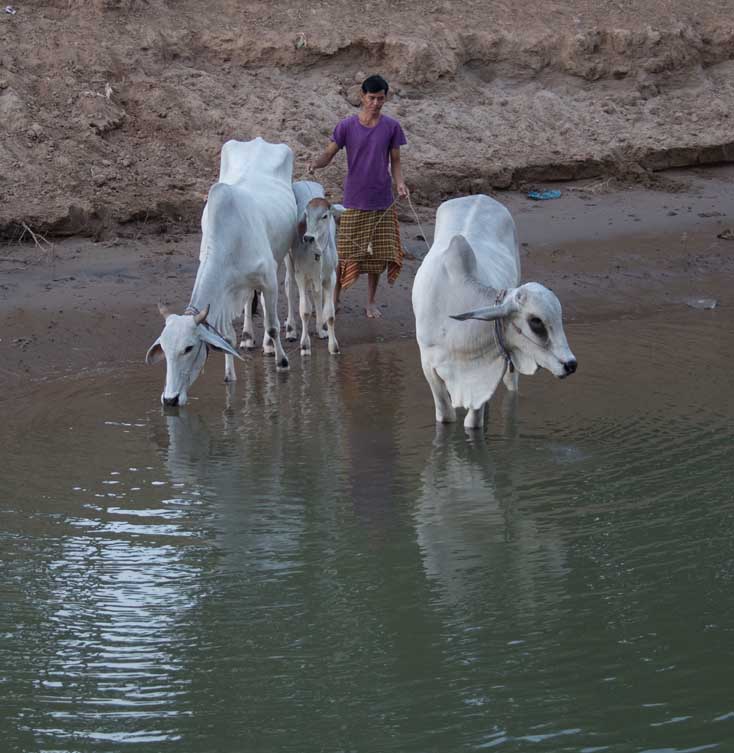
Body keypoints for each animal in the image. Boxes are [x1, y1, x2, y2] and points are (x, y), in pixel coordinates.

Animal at [146, 138, 297, 406]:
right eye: (163, 348)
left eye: (188, 348)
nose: (170, 399)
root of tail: (259, 140)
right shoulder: (228, 291)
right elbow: (227, 337)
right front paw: (229, 376)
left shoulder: (268, 279)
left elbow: (272, 325)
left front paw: (282, 361)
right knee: (250, 301)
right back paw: (249, 337)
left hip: (286, 251)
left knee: (286, 288)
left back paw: (281, 337)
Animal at [288, 180, 344, 356]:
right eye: (306, 215)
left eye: (325, 216)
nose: (308, 237)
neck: (317, 252)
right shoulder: (301, 275)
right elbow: (305, 311)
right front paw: (305, 345)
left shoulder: (330, 277)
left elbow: (330, 314)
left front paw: (333, 346)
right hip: (289, 265)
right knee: (288, 289)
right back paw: (291, 329)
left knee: (316, 295)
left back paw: (320, 329)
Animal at [412, 194, 577, 430]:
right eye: (536, 322)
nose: (571, 364)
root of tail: (481, 196)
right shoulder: (428, 365)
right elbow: (445, 414)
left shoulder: (486, 374)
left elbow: (474, 422)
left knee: (511, 383)